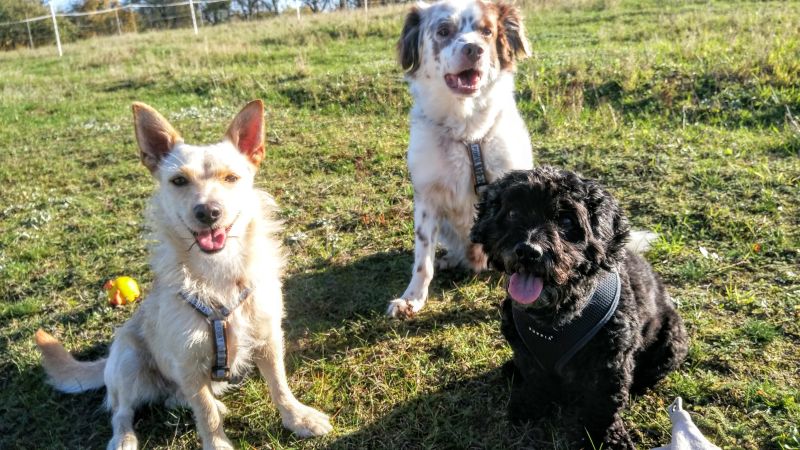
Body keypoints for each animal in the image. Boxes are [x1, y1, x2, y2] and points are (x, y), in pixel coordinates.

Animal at [35, 100, 332, 450]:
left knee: (173, 398)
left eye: (231, 177)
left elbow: (279, 385)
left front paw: (298, 418)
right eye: (179, 181)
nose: (208, 212)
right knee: (121, 410)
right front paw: (217, 444)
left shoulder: (268, 337)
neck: (218, 271)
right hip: (128, 359)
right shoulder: (187, 360)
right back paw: (124, 438)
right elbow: (205, 413)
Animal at [387, 0, 533, 318]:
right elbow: (422, 259)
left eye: (487, 31)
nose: (474, 50)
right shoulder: (427, 197)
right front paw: (412, 298)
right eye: (444, 31)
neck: (468, 133)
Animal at [470, 167, 688, 448]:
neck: (554, 317)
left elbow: (605, 404)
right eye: (512, 213)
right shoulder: (527, 351)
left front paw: (606, 438)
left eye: (566, 221)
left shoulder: (611, 362)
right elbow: (534, 379)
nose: (528, 251)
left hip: (672, 339)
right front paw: (530, 406)